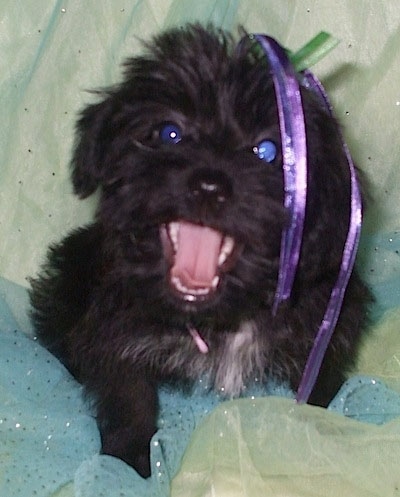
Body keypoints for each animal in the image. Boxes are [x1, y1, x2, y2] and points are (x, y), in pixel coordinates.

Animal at [29, 25, 370, 474]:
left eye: (268, 151)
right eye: (169, 133)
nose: (210, 184)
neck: (220, 316)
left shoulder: (327, 322)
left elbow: (320, 387)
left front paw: (324, 437)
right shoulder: (114, 328)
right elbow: (128, 398)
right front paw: (129, 466)